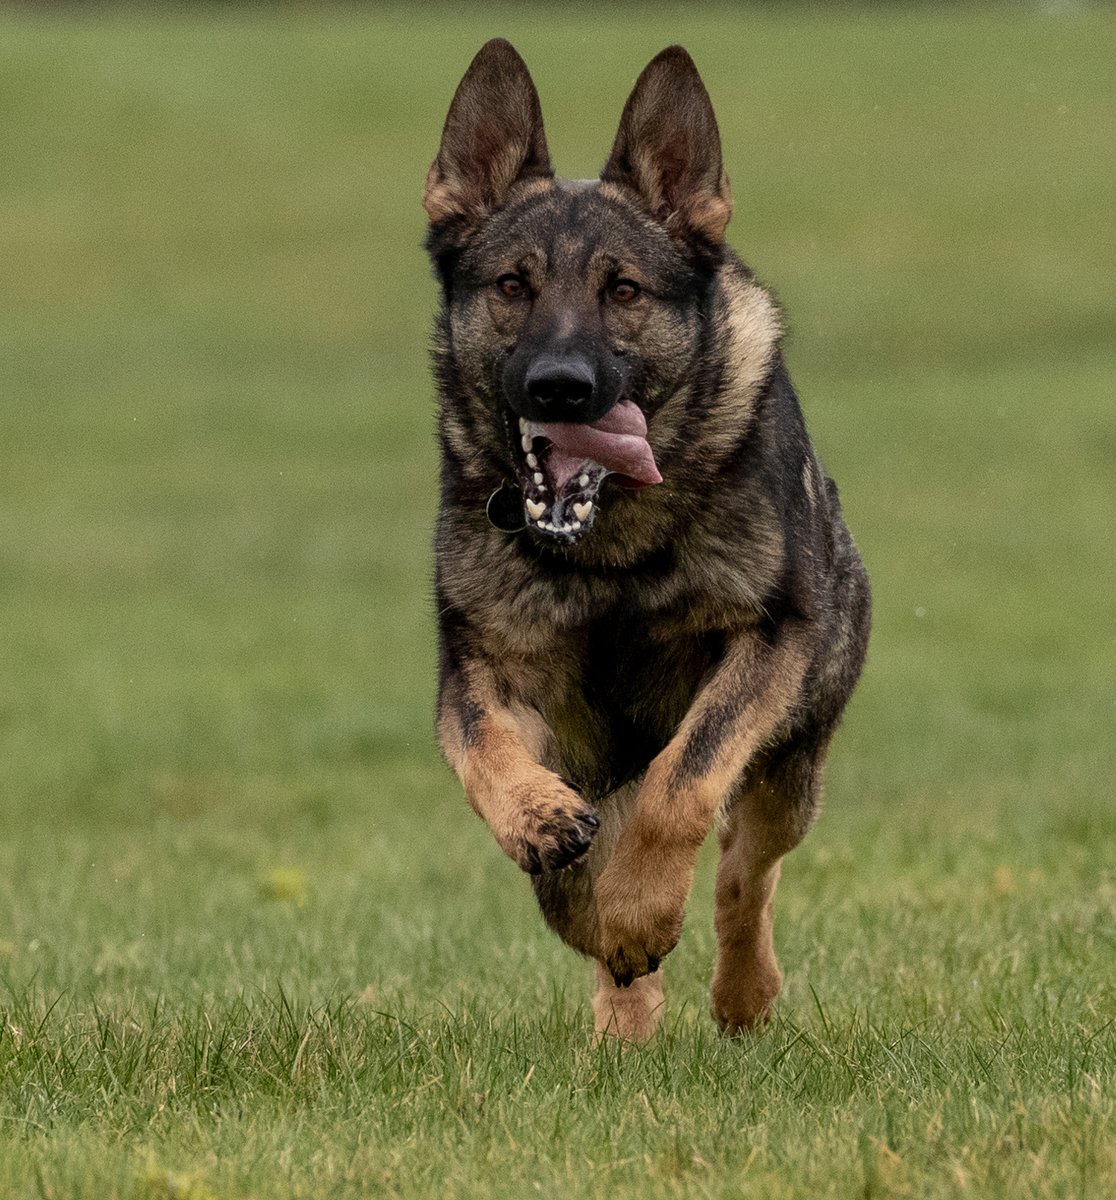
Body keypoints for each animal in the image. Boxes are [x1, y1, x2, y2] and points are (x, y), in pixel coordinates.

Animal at [422, 39, 864, 1041]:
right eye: (513, 287)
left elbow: (683, 783)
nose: (559, 387)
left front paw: (641, 912)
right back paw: (622, 1015)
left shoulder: (765, 641)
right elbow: (484, 756)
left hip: (794, 761)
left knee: (745, 867)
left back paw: (738, 992)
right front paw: (542, 825)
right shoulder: (482, 667)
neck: (610, 549)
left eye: (622, 290)